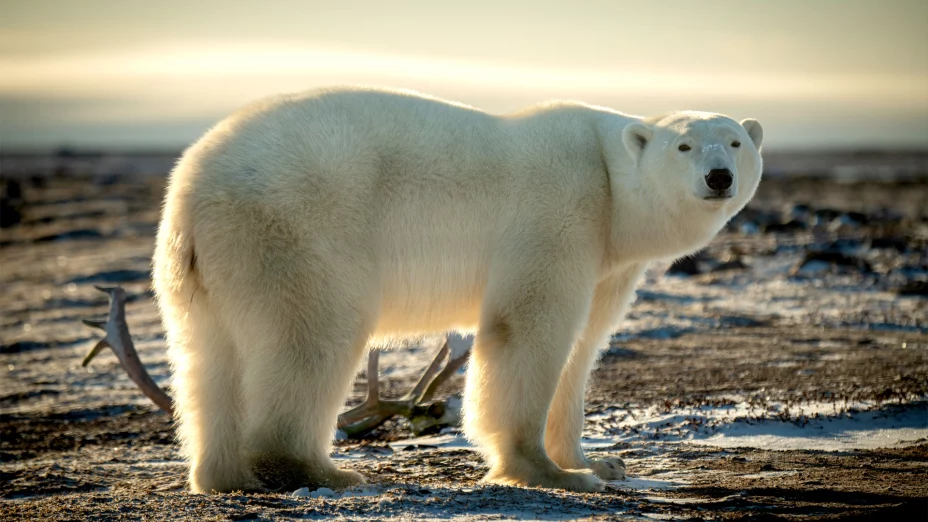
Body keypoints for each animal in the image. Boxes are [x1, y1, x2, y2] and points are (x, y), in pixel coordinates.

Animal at [152, 86, 763, 494]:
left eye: (735, 141)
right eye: (683, 147)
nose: (719, 177)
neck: (610, 181)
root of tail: (188, 189)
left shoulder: (608, 260)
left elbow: (583, 347)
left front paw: (598, 463)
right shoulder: (561, 210)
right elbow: (528, 326)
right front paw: (548, 471)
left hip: (211, 268)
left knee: (209, 359)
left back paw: (224, 474)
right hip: (296, 225)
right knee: (311, 336)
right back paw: (324, 470)